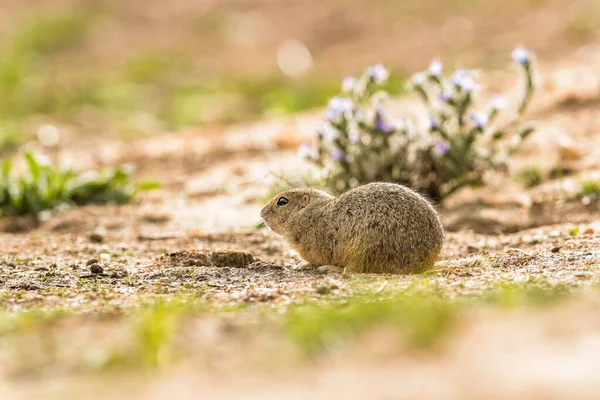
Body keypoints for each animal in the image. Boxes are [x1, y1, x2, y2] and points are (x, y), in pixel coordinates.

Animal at [262, 182, 446, 274]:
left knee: (353, 270)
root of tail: (425, 263)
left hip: (362, 250)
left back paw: (328, 269)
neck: (309, 215)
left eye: (282, 201)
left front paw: (301, 265)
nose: (261, 213)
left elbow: (315, 260)